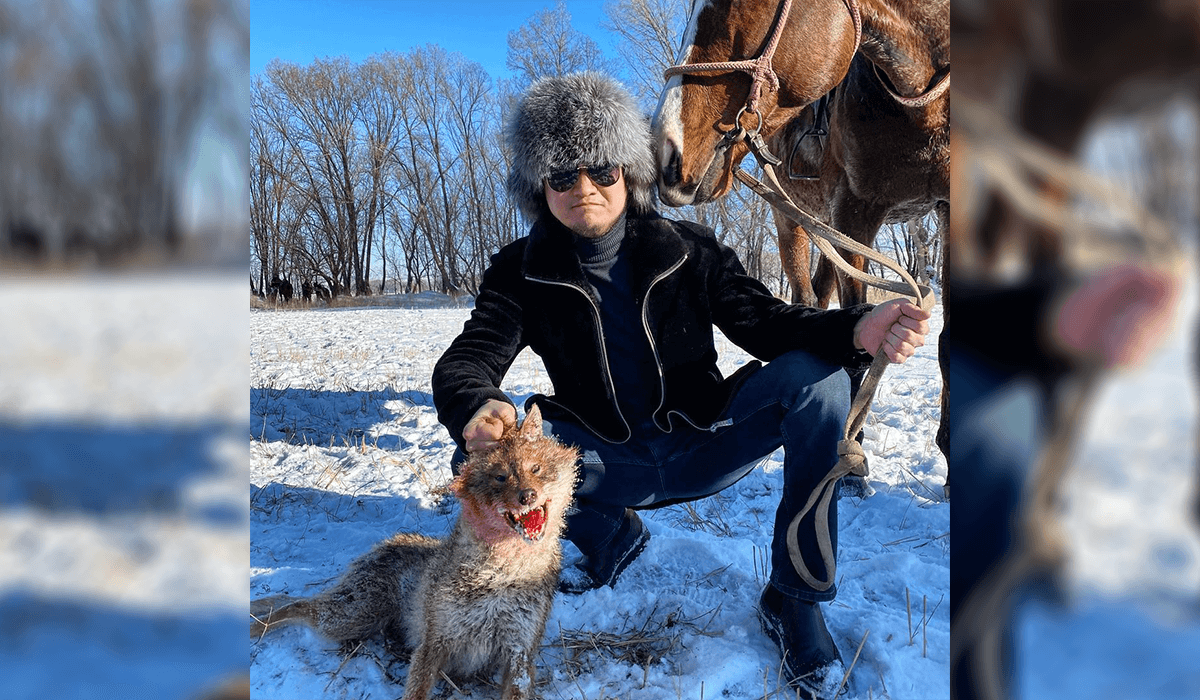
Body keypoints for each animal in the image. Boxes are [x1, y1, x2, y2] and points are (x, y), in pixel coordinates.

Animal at [248, 405, 576, 700]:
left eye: (535, 469)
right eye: (500, 477)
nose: (527, 496)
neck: (503, 574)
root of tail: (391, 541)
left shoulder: (519, 654)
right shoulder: (433, 644)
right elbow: (416, 691)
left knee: (294, 599)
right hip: (347, 618)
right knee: (296, 605)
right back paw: (254, 626)